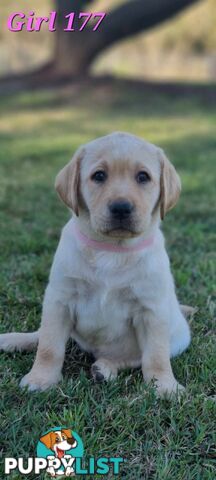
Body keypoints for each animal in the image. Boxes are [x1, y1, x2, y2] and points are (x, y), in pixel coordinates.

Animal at [0, 131, 192, 394]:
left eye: (143, 177)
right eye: (99, 175)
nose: (121, 207)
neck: (111, 249)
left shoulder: (152, 310)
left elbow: (155, 355)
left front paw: (165, 386)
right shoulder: (59, 300)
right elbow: (49, 346)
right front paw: (41, 379)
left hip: (179, 339)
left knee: (133, 358)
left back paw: (105, 368)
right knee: (42, 334)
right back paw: (14, 339)